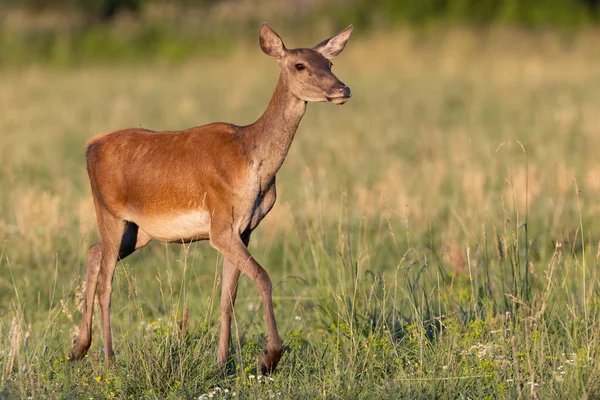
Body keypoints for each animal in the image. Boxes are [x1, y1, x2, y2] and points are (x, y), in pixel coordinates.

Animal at [68, 21, 354, 374]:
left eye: (329, 63)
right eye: (300, 65)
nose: (343, 89)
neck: (252, 162)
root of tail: (89, 147)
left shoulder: (244, 229)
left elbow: (228, 296)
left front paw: (221, 363)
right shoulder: (221, 224)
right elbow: (263, 277)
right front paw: (270, 357)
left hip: (139, 231)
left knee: (93, 252)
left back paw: (79, 348)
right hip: (109, 211)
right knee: (107, 281)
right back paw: (109, 359)